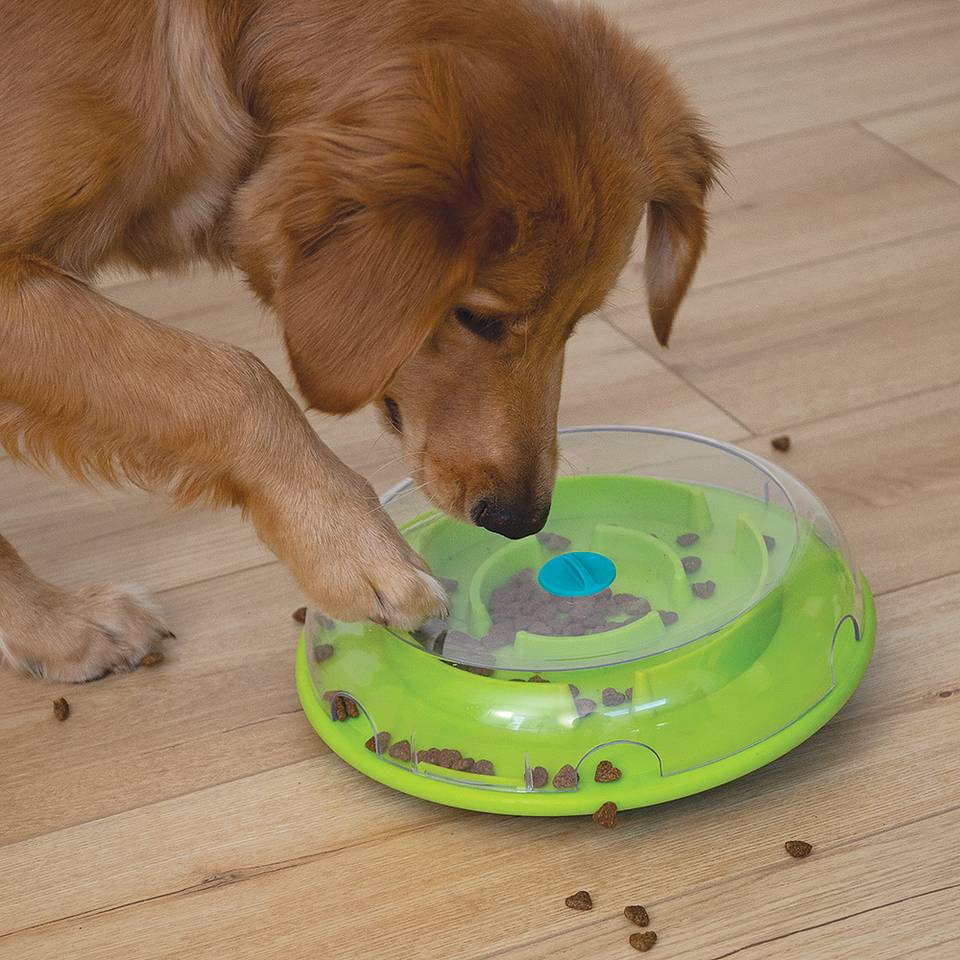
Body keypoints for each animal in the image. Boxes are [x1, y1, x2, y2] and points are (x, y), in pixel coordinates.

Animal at [0, 0, 720, 684]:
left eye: (576, 320)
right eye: (477, 318)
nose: (521, 520)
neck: (229, 35)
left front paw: (50, 627)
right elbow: (236, 378)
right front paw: (357, 551)